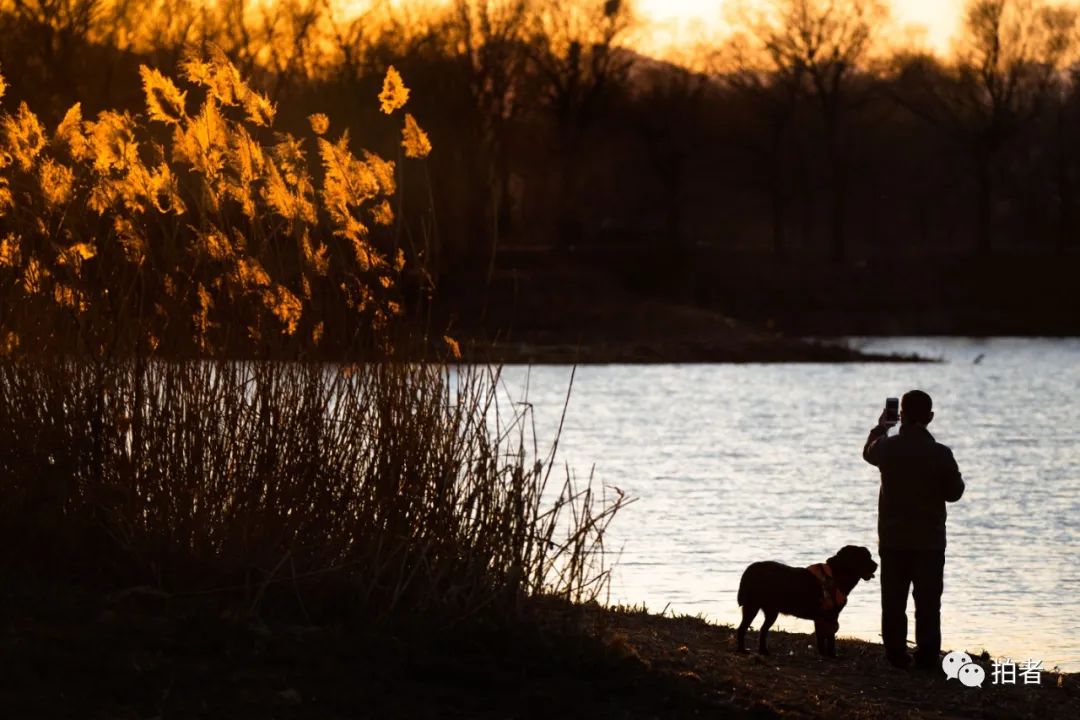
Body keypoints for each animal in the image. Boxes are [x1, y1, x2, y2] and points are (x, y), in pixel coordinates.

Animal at [734, 546, 876, 660]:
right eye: (866, 557)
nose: (877, 565)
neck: (837, 575)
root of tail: (751, 569)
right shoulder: (829, 616)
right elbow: (829, 639)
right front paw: (831, 656)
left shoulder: (823, 618)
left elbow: (821, 638)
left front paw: (824, 654)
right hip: (752, 606)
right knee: (742, 629)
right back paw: (742, 650)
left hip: (770, 611)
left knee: (762, 630)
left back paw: (763, 651)